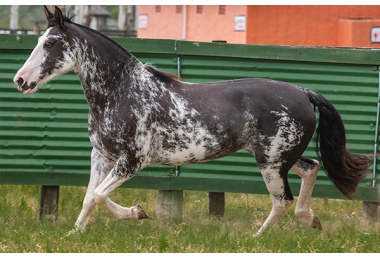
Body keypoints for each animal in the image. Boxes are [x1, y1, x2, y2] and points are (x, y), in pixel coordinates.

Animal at [12, 6, 374, 238]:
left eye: (49, 43)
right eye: (38, 41)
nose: (20, 81)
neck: (122, 91)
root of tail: (303, 92)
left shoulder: (132, 162)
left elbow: (100, 196)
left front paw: (138, 213)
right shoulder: (101, 156)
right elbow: (90, 197)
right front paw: (74, 235)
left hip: (271, 164)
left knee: (281, 200)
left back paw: (258, 238)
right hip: (280, 157)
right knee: (311, 169)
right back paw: (310, 220)